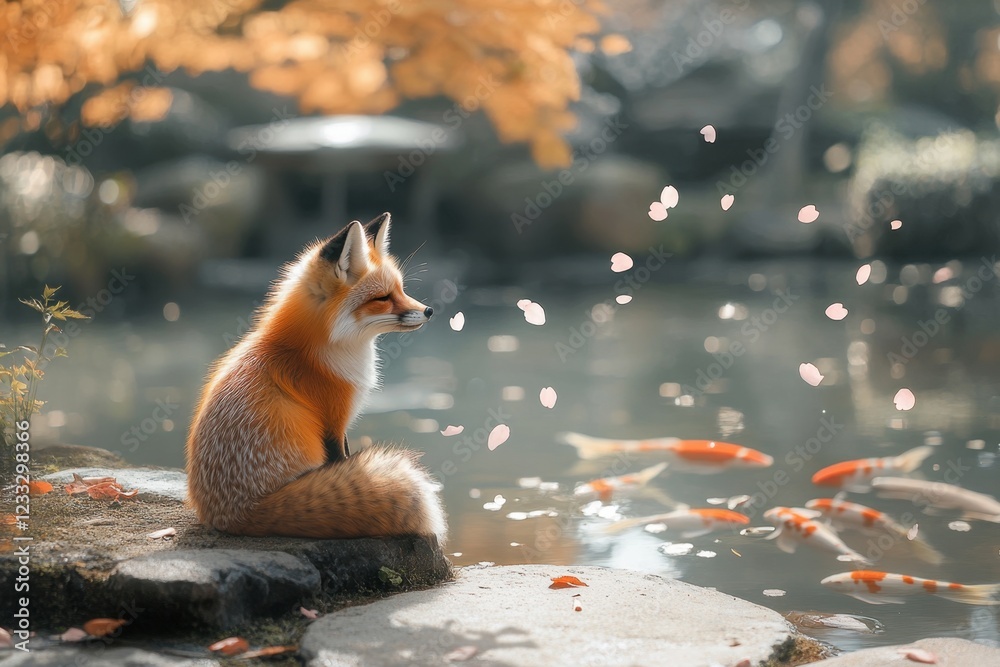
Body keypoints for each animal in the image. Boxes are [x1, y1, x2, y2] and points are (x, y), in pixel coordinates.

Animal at [186, 212, 447, 543]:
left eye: (401, 289)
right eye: (383, 298)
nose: (429, 310)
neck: (315, 352)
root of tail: (236, 516)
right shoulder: (333, 418)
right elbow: (342, 458)